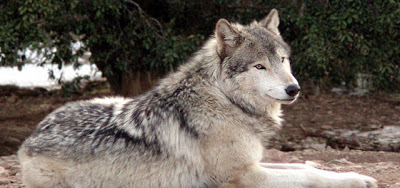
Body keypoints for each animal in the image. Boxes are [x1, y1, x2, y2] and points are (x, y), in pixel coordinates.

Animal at [18, 9, 376, 188]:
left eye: (282, 60)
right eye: (259, 66)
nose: (294, 89)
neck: (225, 101)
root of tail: (31, 136)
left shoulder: (252, 162)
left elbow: (304, 163)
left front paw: (352, 176)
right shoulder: (243, 175)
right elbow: (308, 174)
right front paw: (357, 180)